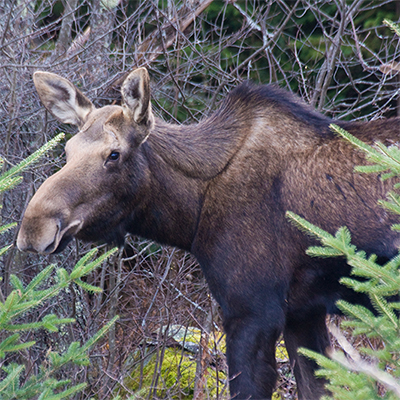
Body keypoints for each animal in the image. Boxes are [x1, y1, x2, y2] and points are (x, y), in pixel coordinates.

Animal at [17, 67, 400, 398]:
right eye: (67, 151)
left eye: (114, 154)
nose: (34, 226)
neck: (191, 217)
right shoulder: (302, 312)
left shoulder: (253, 309)